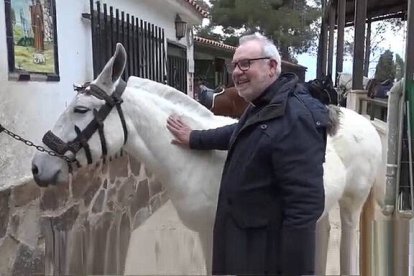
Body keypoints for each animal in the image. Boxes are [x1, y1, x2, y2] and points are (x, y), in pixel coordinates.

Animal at [31, 44, 382, 274]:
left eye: (80, 109)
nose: (38, 166)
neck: (193, 161)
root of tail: (367, 125)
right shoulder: (205, 234)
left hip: (351, 205)